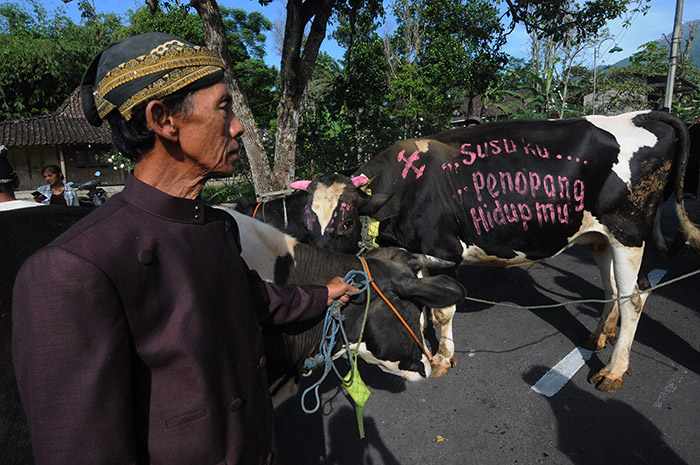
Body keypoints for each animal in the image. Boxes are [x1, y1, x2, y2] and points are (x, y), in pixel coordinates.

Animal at [350, 110, 700, 390]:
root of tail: (641, 114)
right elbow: (425, 301)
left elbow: (443, 311)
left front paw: (441, 358)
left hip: (628, 232)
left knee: (634, 299)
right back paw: (599, 336)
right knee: (613, 289)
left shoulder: (444, 250)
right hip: (601, 237)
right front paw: (425, 332)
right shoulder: (417, 252)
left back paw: (613, 371)